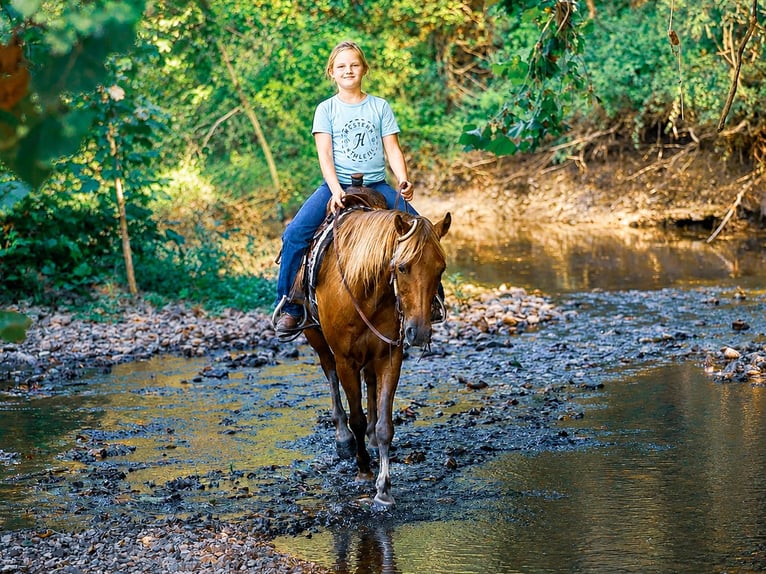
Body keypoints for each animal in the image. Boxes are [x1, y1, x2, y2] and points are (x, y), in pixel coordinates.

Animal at [302, 207, 451, 507]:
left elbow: (385, 425)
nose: (419, 332)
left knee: (369, 382)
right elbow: (356, 418)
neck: (365, 289)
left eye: (440, 268)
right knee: (329, 373)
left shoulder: (389, 356)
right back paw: (343, 439)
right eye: (402, 267)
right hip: (317, 339)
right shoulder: (345, 360)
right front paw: (363, 471)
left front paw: (384, 489)